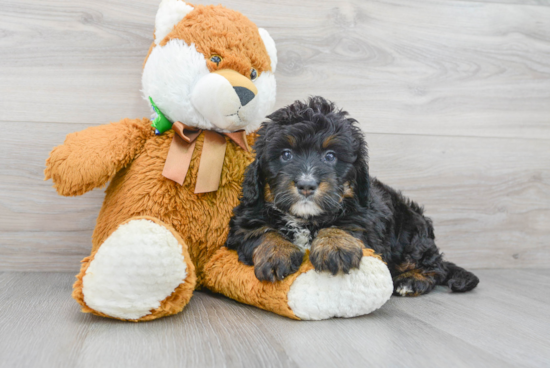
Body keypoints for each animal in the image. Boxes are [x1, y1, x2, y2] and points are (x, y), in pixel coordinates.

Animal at [226, 95, 480, 296]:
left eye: (330, 156)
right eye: (286, 154)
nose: (306, 185)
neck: (305, 219)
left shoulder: (365, 215)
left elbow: (346, 224)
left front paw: (336, 247)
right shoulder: (244, 220)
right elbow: (261, 231)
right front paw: (277, 252)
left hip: (412, 232)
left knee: (435, 267)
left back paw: (410, 281)